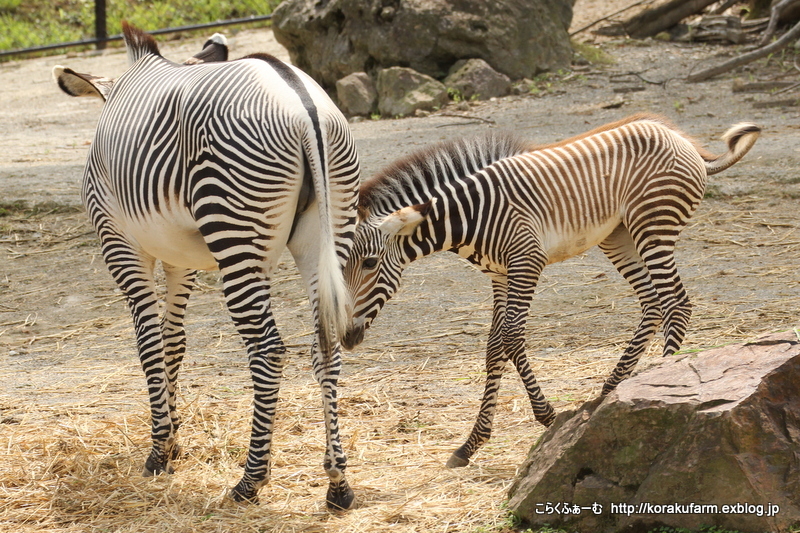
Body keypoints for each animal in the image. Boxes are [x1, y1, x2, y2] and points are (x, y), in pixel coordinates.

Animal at [53, 23, 360, 508]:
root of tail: (301, 105)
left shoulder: (119, 243)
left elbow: (148, 342)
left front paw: (160, 450)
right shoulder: (183, 262)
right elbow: (173, 341)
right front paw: (175, 438)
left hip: (235, 235)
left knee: (268, 350)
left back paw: (250, 481)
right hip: (329, 232)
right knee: (325, 347)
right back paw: (337, 483)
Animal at [340, 114, 760, 468]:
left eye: (370, 264)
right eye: (340, 266)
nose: (346, 338)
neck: (470, 214)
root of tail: (681, 139)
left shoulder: (527, 263)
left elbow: (511, 338)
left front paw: (547, 416)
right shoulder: (500, 275)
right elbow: (494, 347)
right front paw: (471, 443)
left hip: (652, 225)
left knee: (676, 303)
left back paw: (665, 381)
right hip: (618, 235)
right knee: (654, 304)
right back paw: (613, 389)